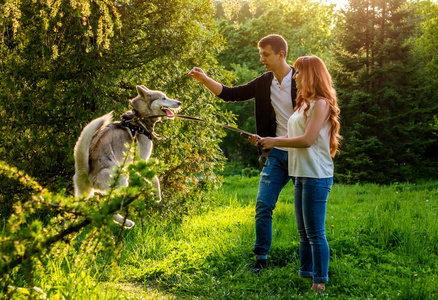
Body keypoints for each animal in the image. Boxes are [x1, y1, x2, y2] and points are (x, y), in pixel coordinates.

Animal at [73, 84, 181, 227]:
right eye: (163, 98)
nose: (179, 102)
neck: (140, 120)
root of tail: (86, 171)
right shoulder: (142, 160)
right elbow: (155, 178)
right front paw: (157, 195)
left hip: (86, 194)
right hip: (121, 180)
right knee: (108, 208)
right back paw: (127, 222)